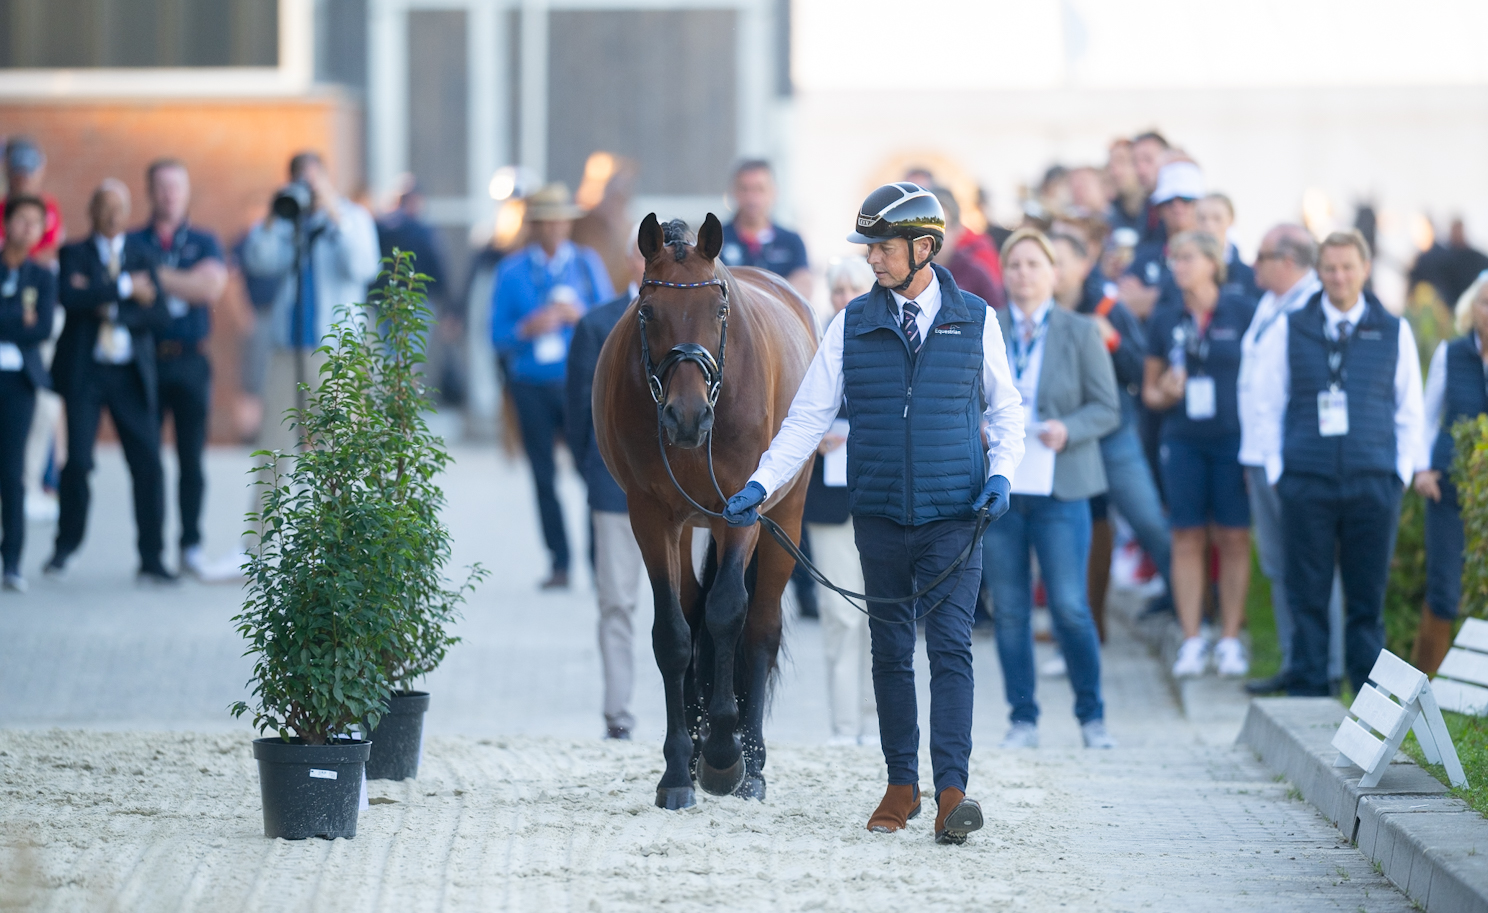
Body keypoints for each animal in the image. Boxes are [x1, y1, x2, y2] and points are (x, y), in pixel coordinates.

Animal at [592, 212, 821, 808]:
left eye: (719, 311)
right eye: (647, 311)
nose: (687, 417)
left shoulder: (739, 510)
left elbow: (727, 614)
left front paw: (723, 754)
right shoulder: (651, 517)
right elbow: (674, 634)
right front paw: (679, 768)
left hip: (786, 516)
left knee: (759, 629)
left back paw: (752, 763)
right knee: (694, 612)